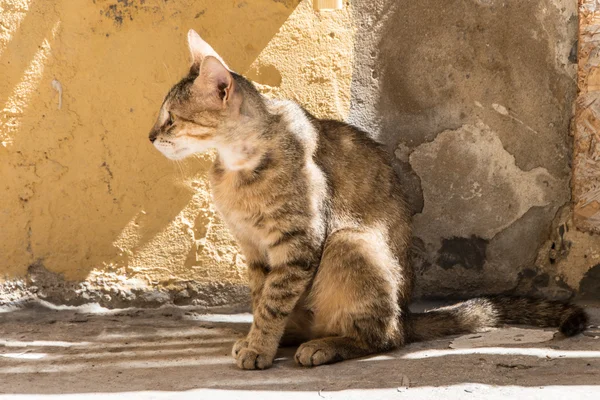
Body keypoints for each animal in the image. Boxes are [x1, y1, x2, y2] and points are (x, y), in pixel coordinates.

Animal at [148, 29, 588, 370]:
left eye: (170, 118)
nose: (151, 136)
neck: (238, 167)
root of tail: (408, 316)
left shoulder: (300, 243)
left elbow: (273, 301)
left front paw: (260, 347)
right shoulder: (254, 248)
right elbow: (263, 299)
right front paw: (260, 339)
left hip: (349, 240)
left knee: (385, 338)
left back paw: (325, 346)